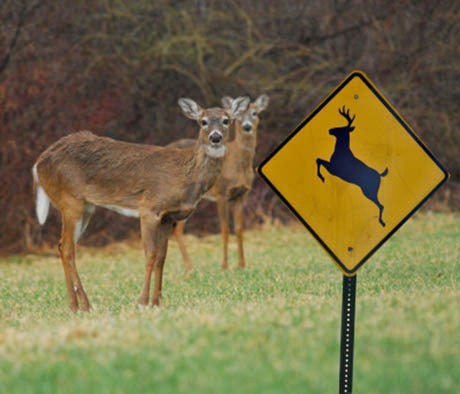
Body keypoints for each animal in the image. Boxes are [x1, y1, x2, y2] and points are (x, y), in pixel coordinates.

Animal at [33, 96, 250, 310]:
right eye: (203, 121)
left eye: (226, 120)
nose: (215, 137)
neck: (185, 174)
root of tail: (38, 164)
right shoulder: (149, 208)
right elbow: (150, 254)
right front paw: (142, 302)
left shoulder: (168, 216)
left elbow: (162, 257)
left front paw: (157, 302)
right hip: (70, 201)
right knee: (67, 248)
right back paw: (82, 305)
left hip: (86, 207)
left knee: (62, 246)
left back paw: (76, 305)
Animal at [171, 94, 268, 270]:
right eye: (238, 117)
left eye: (255, 113)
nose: (247, 126)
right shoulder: (221, 193)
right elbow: (225, 229)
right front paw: (224, 265)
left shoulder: (241, 194)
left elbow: (239, 229)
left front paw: (242, 264)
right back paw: (189, 267)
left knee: (177, 229)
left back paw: (189, 267)